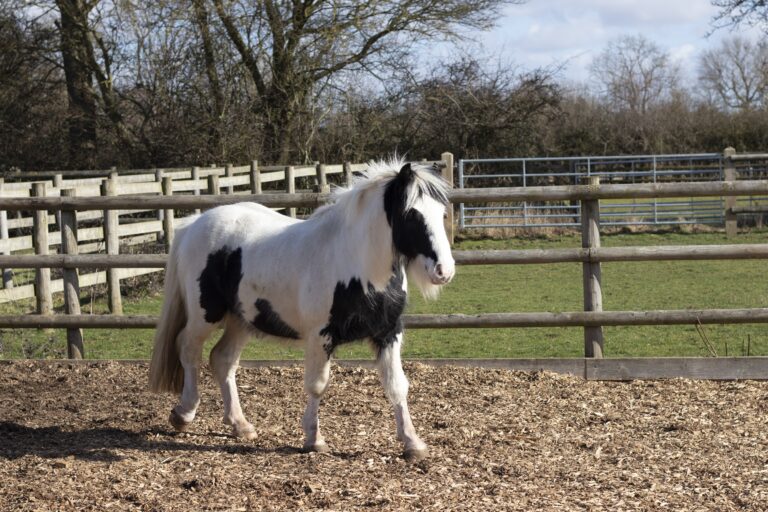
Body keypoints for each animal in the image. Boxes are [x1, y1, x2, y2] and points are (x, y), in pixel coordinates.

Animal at [148, 159, 455, 462]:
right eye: (412, 214)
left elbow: (397, 385)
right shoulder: (321, 337)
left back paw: (240, 425)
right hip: (205, 315)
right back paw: (184, 413)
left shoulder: (388, 333)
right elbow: (317, 385)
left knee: (222, 360)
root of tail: (193, 224)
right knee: (188, 348)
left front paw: (413, 443)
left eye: (441, 213)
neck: (356, 264)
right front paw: (313, 439)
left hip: (242, 320)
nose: (444, 271)